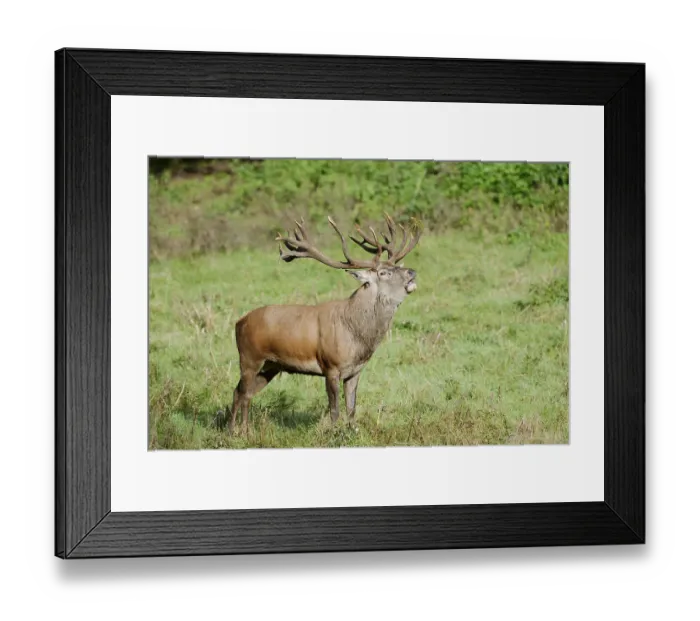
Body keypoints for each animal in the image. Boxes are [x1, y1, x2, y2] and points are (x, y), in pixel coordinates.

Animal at [227, 214, 422, 434]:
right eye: (384, 273)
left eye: (398, 266)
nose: (412, 272)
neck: (356, 335)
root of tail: (238, 323)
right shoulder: (331, 366)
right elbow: (334, 410)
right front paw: (333, 433)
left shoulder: (355, 371)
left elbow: (352, 408)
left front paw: (352, 432)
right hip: (249, 357)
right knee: (241, 392)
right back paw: (237, 432)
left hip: (270, 366)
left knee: (243, 393)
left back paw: (240, 430)